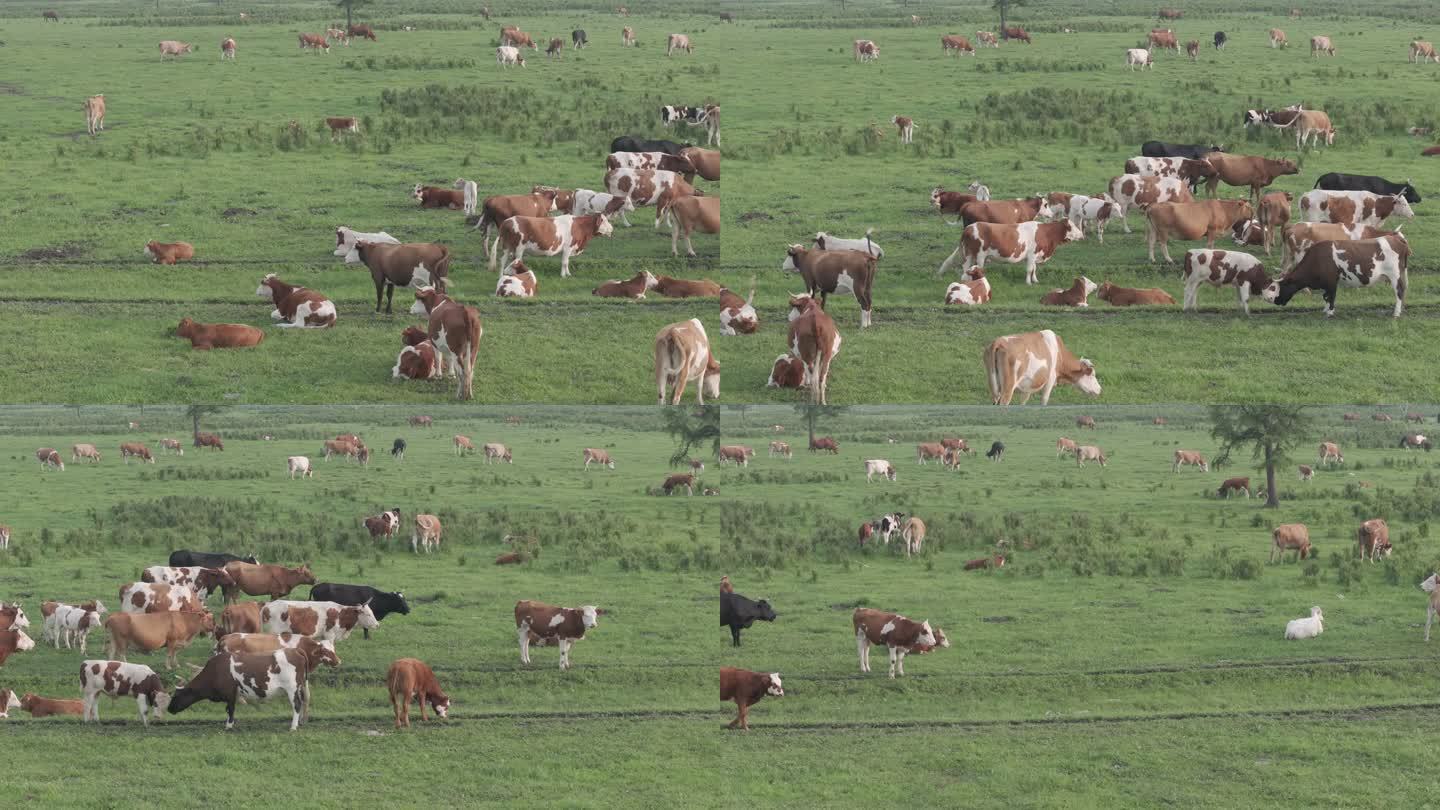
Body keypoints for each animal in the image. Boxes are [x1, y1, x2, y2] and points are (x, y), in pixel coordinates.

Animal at [938, 217, 1082, 283]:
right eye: (1072, 226)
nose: (1082, 234)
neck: (1045, 233)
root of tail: (969, 227)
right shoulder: (1032, 255)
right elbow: (1029, 269)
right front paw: (1028, 282)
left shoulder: (1035, 255)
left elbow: (1034, 269)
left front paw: (1035, 280)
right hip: (979, 255)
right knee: (976, 267)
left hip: (969, 254)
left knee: (965, 267)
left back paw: (966, 281)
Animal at [1267, 230, 1411, 315]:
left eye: (1281, 287)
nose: (1275, 301)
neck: (1318, 257)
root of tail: (1395, 238)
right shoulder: (1326, 283)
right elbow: (1325, 296)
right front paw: (1325, 309)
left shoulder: (1331, 281)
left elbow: (1331, 296)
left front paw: (1330, 312)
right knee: (1403, 291)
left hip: (1395, 275)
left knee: (1399, 291)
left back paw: (1396, 313)